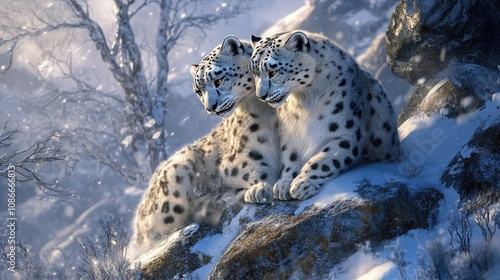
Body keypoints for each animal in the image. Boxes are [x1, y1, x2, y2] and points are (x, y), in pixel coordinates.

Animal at [132, 36, 282, 253]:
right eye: (198, 90)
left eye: (218, 80)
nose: (211, 107)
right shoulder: (236, 162)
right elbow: (254, 166)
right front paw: (261, 188)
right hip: (178, 172)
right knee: (151, 237)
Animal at [249, 30, 398, 201]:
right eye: (254, 73)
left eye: (273, 72)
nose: (261, 96)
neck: (302, 101)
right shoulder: (291, 134)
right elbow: (291, 156)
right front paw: (284, 183)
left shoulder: (345, 132)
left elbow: (325, 160)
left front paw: (302, 183)